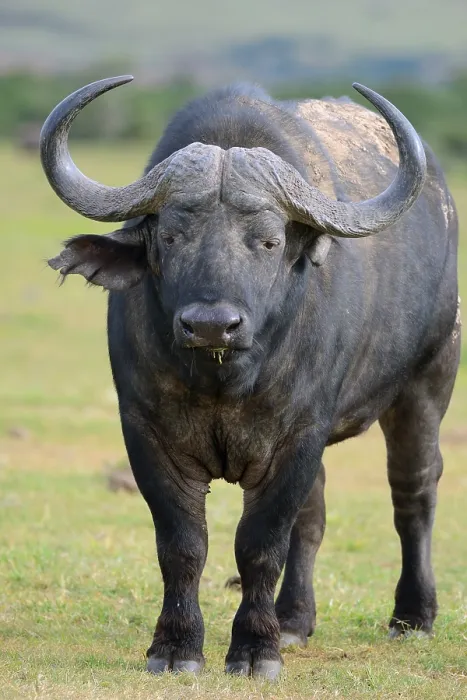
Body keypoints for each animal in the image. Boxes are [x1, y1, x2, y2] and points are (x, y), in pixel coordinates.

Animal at [40, 76, 460, 680]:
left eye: (268, 241)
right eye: (170, 237)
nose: (211, 324)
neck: (226, 378)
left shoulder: (297, 436)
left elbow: (261, 544)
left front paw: (255, 651)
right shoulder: (146, 433)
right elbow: (183, 544)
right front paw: (176, 647)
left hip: (428, 382)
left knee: (414, 490)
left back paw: (413, 616)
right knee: (313, 516)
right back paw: (293, 620)